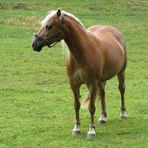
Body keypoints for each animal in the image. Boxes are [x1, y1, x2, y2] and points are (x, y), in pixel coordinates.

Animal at [31, 8, 128, 138]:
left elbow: (91, 107)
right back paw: (103, 117)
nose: (34, 44)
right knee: (102, 93)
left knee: (121, 89)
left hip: (121, 72)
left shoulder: (92, 83)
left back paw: (123, 114)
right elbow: (76, 105)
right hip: (101, 80)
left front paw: (91, 130)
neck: (82, 52)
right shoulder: (73, 83)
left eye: (49, 26)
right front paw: (76, 128)